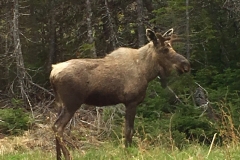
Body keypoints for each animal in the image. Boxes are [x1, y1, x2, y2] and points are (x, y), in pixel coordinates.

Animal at [49, 29, 190, 160]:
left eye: (172, 46)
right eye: (165, 49)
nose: (186, 64)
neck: (146, 72)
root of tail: (53, 73)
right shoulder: (131, 101)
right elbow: (129, 131)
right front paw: (128, 153)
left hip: (60, 103)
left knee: (54, 126)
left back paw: (59, 157)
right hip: (72, 103)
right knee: (57, 127)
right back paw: (68, 155)